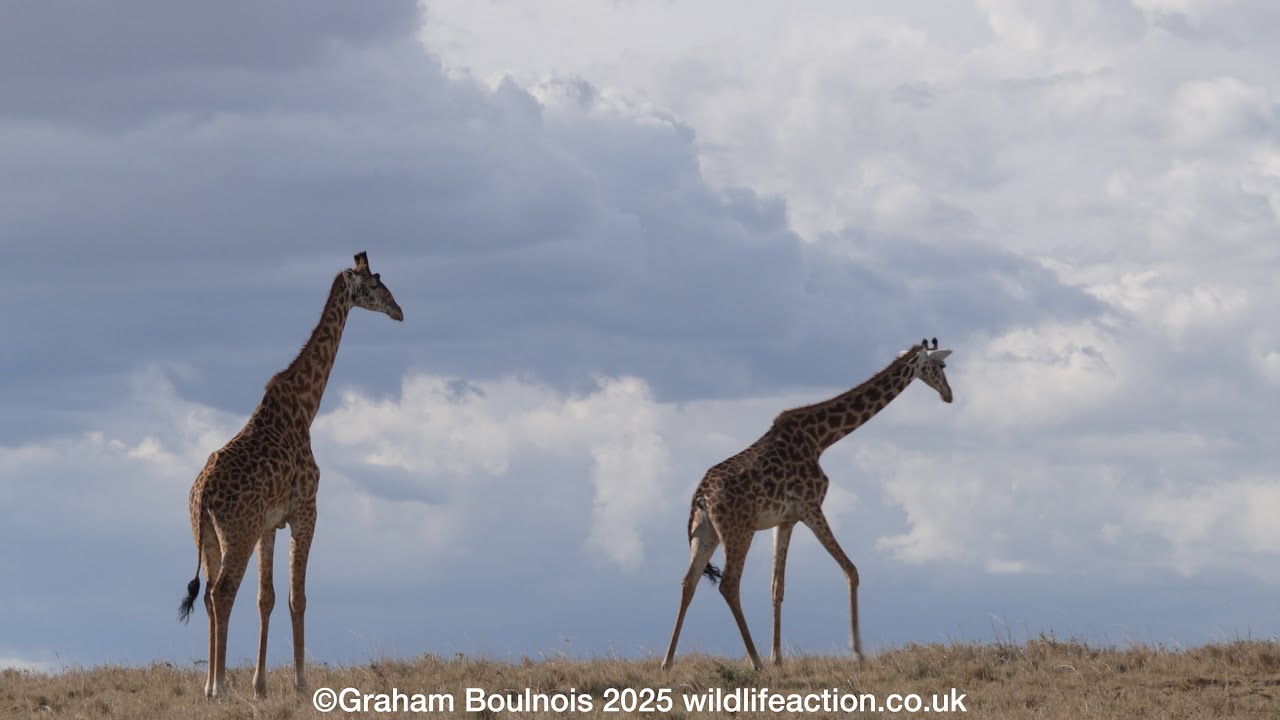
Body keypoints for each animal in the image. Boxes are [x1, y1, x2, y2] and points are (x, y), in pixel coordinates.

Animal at [177, 252, 403, 700]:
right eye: (374, 284)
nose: (399, 311)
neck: (305, 408)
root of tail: (203, 492)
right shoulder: (306, 511)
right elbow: (299, 596)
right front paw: (301, 682)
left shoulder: (269, 525)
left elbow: (267, 597)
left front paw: (261, 685)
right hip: (238, 532)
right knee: (222, 591)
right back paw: (219, 686)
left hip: (206, 534)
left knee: (209, 594)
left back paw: (211, 684)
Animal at [660, 339, 953, 671]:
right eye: (941, 366)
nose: (949, 395)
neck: (821, 439)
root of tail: (700, 497)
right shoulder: (812, 507)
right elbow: (852, 570)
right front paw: (857, 652)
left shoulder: (785, 520)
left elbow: (777, 587)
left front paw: (778, 658)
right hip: (738, 531)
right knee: (728, 584)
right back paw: (754, 661)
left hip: (706, 534)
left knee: (688, 582)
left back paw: (668, 662)